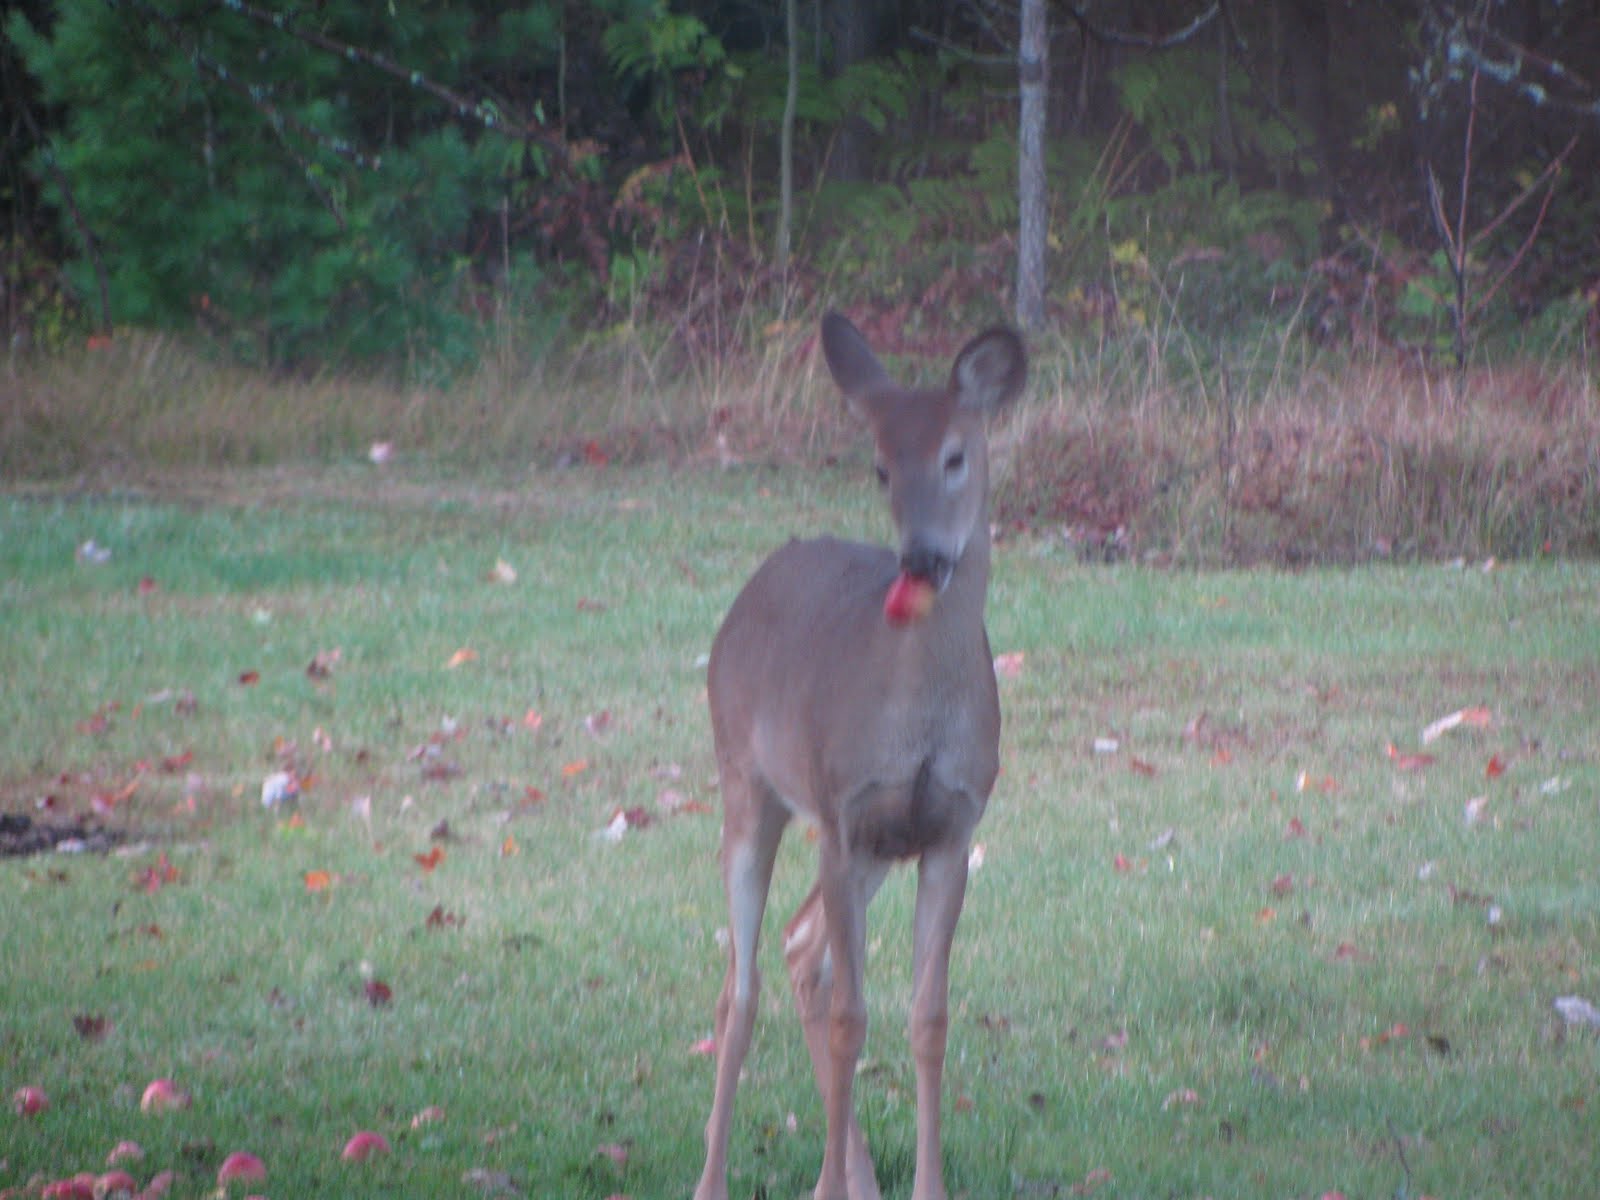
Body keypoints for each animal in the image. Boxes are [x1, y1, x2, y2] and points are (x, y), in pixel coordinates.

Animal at [693, 312, 1027, 1200]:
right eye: (879, 467)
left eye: (955, 454)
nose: (921, 557)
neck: (917, 720)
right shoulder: (841, 811)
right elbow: (852, 1021)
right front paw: (836, 1186)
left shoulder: (948, 827)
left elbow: (928, 1017)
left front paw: (923, 1188)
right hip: (748, 780)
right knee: (740, 989)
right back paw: (717, 1180)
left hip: (874, 846)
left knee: (800, 945)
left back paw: (853, 1175)